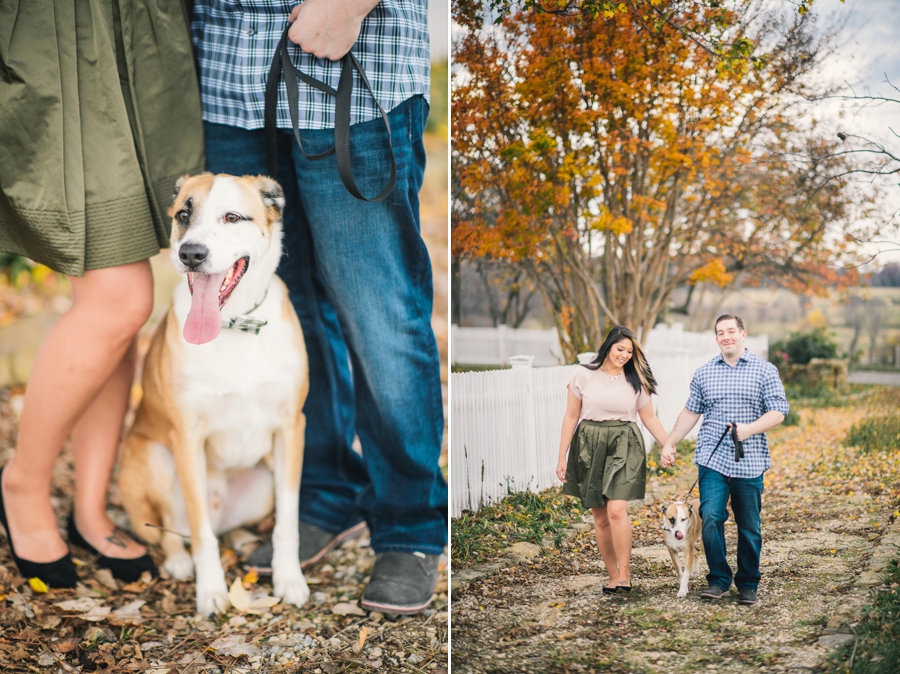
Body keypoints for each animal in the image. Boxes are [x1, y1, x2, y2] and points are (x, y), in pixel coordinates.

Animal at [119, 173, 310, 616]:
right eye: (183, 215)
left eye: (232, 217)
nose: (191, 253)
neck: (231, 324)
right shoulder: (187, 439)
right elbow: (201, 532)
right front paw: (210, 591)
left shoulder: (292, 427)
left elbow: (288, 522)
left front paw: (289, 578)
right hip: (154, 458)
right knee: (176, 530)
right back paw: (178, 560)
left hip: (262, 484)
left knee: (229, 527)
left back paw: (241, 538)